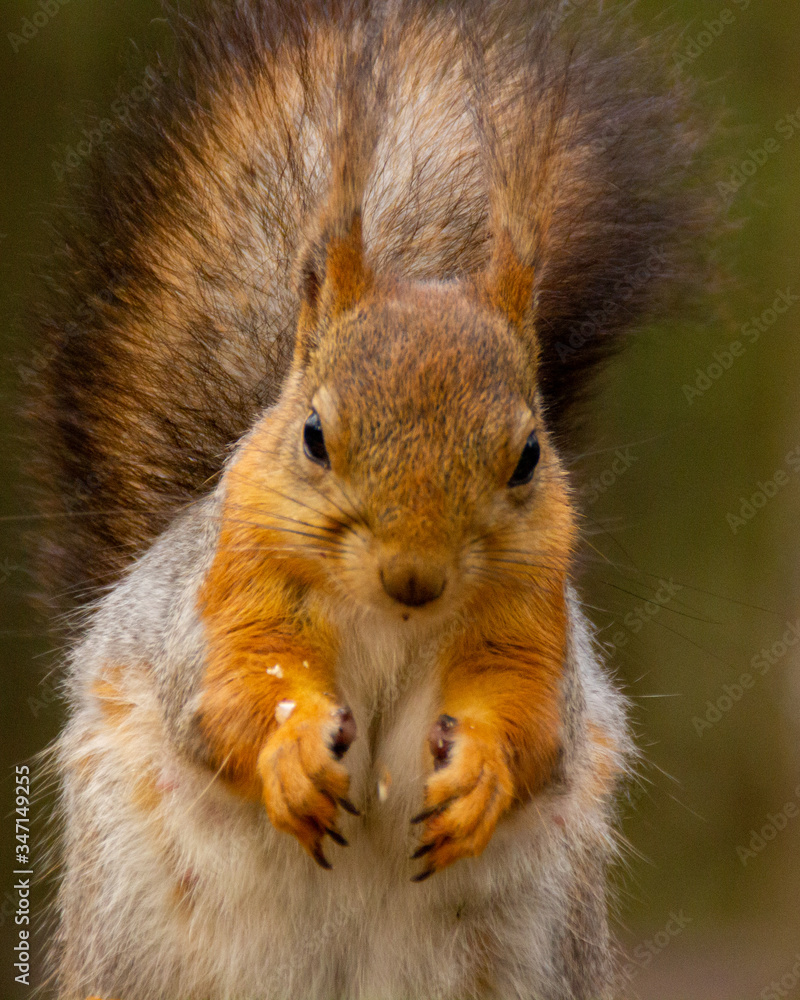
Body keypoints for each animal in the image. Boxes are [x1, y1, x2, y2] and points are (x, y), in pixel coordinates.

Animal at [27, 1, 710, 998]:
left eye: (528, 456)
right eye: (314, 435)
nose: (414, 576)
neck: (392, 621)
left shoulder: (532, 628)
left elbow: (532, 723)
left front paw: (482, 779)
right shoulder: (224, 602)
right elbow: (231, 697)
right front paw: (291, 753)